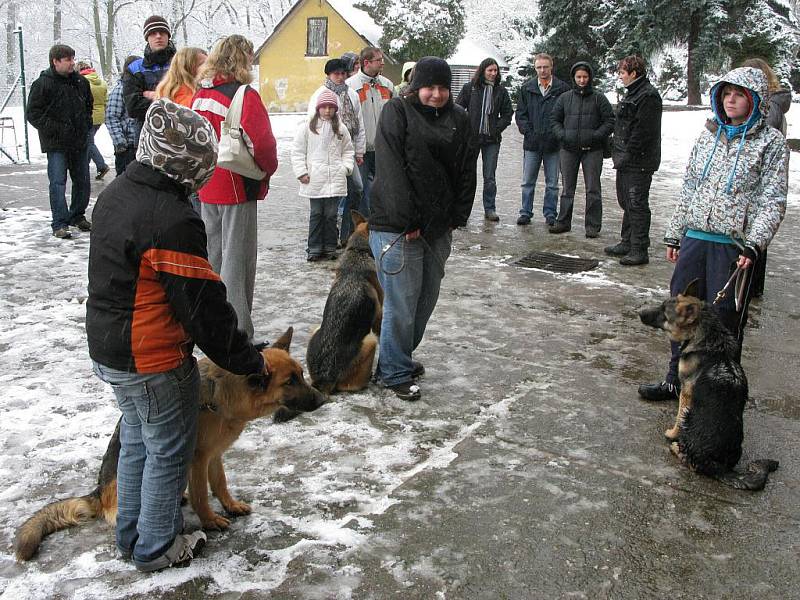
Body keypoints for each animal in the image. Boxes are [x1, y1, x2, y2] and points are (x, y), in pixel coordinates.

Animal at [14, 326, 324, 560]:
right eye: (289, 381)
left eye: (301, 374)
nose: (323, 398)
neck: (221, 398)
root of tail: (98, 494)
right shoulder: (198, 459)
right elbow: (201, 494)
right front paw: (210, 520)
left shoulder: (214, 456)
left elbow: (220, 483)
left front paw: (230, 505)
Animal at [640, 278, 780, 490]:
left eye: (664, 312)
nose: (640, 313)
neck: (708, 338)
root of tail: (720, 467)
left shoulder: (686, 392)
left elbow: (678, 418)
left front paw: (672, 434)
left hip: (690, 418)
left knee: (688, 458)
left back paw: (676, 446)